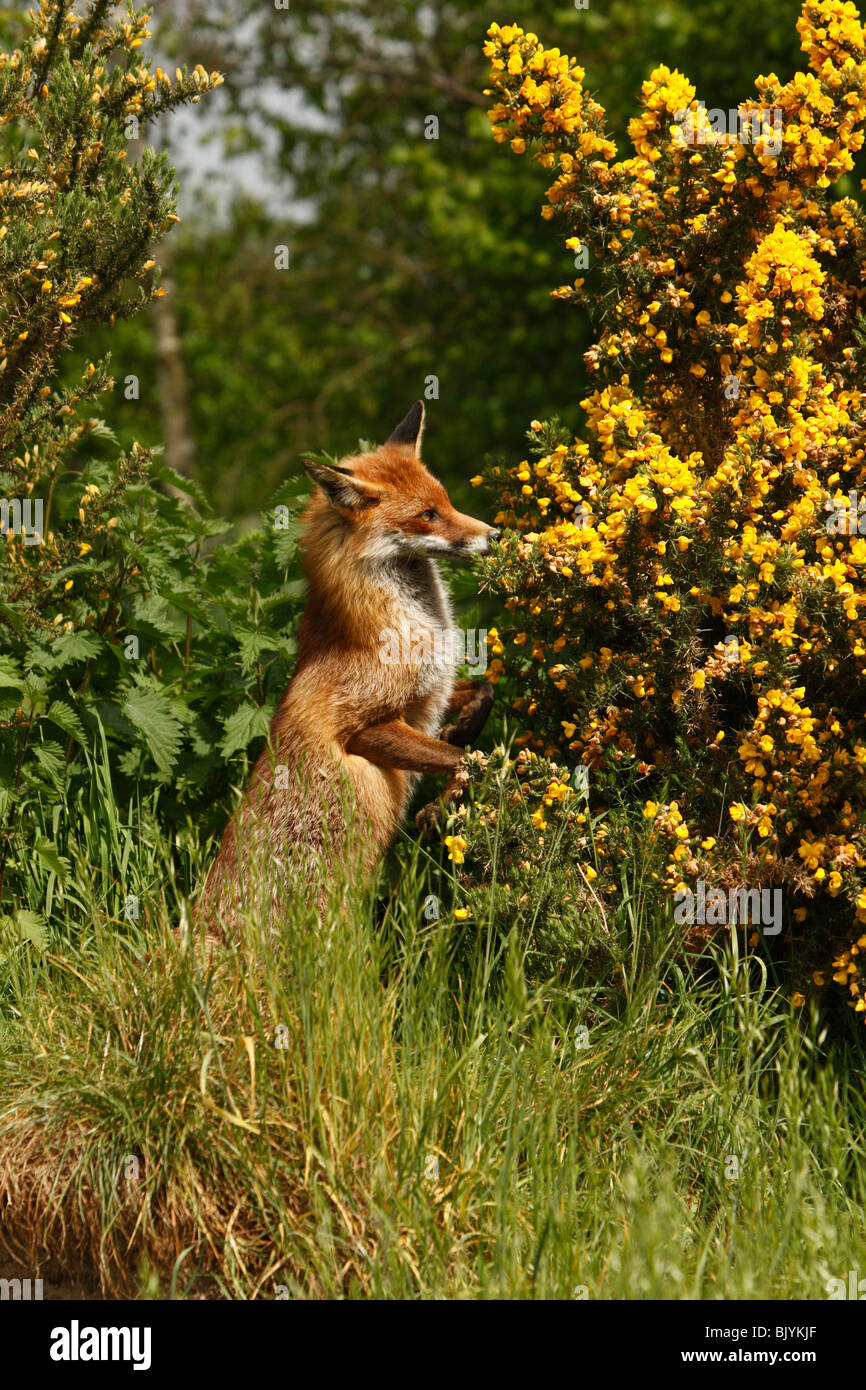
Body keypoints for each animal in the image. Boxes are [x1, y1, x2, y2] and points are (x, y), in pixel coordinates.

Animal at [194, 405, 497, 939]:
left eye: (447, 502)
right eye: (427, 514)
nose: (495, 536)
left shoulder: (432, 694)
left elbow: (485, 691)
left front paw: (464, 728)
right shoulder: (360, 726)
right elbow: (467, 762)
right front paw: (440, 808)